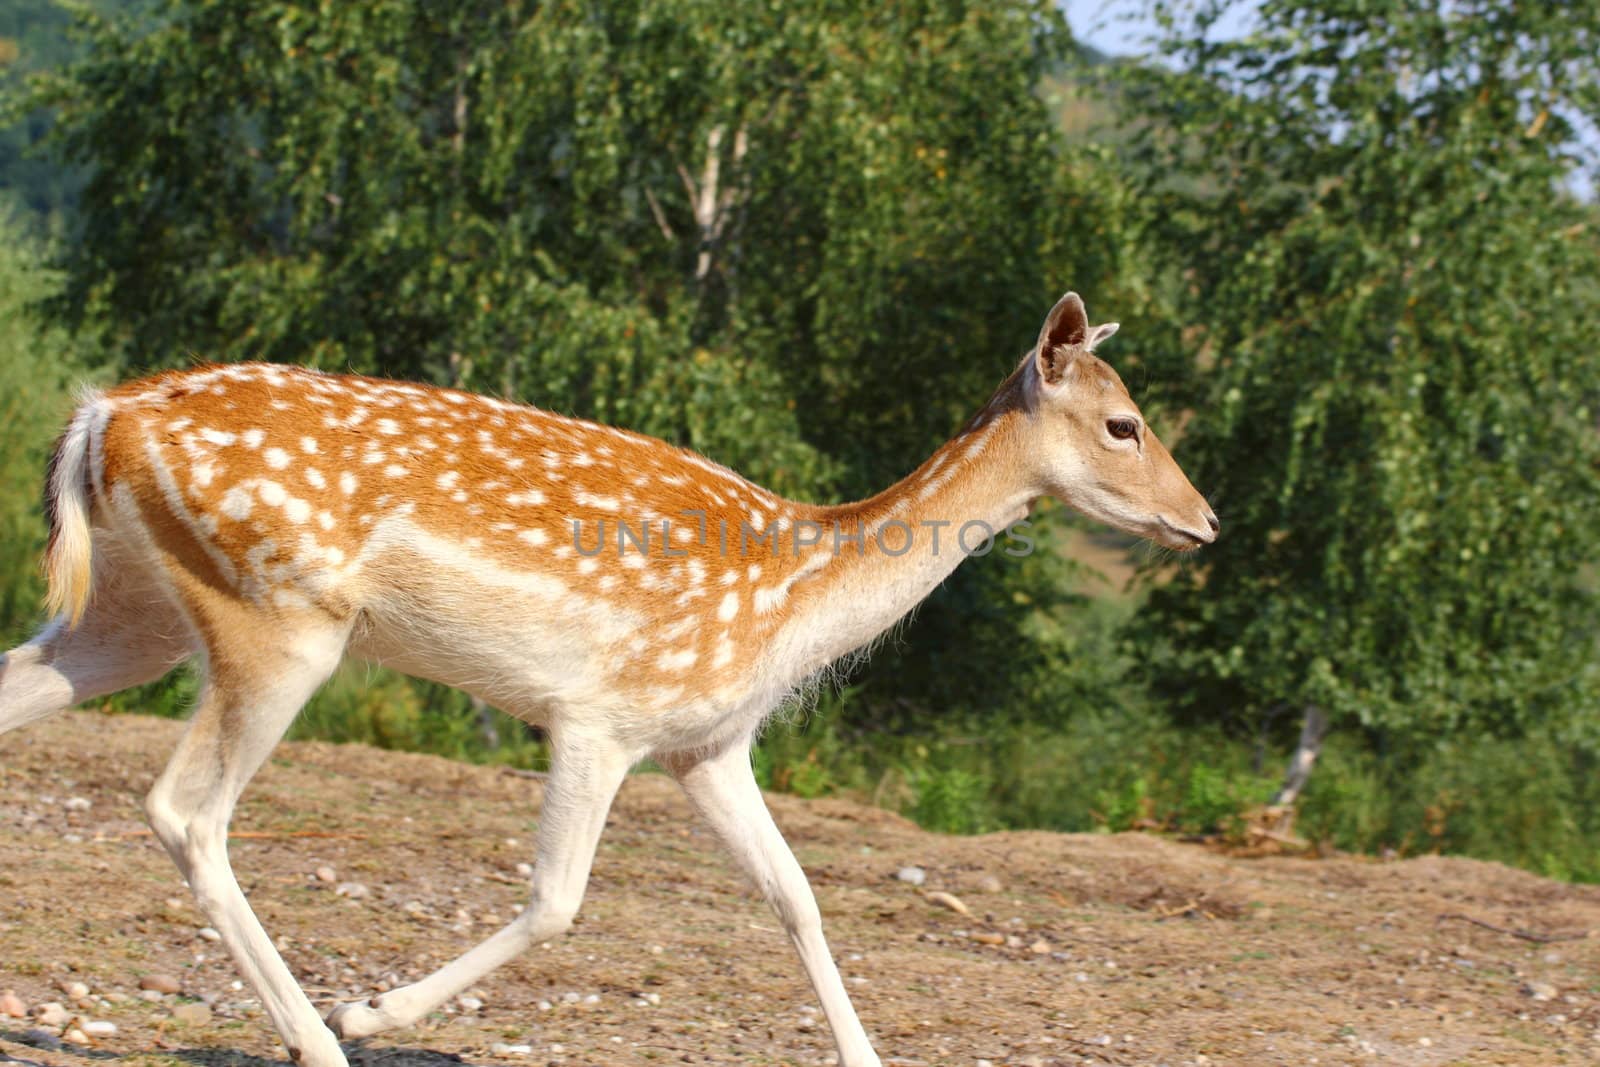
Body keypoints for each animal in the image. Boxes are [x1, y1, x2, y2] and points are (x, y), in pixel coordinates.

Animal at [0, 294, 1209, 1067]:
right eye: (1125, 422)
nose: (1204, 520)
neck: (796, 599)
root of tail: (102, 413)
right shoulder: (600, 714)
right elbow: (557, 899)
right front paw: (372, 1010)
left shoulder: (707, 741)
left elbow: (796, 894)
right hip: (278, 618)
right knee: (185, 809)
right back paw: (314, 1037)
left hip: (132, 613)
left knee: (28, 688)